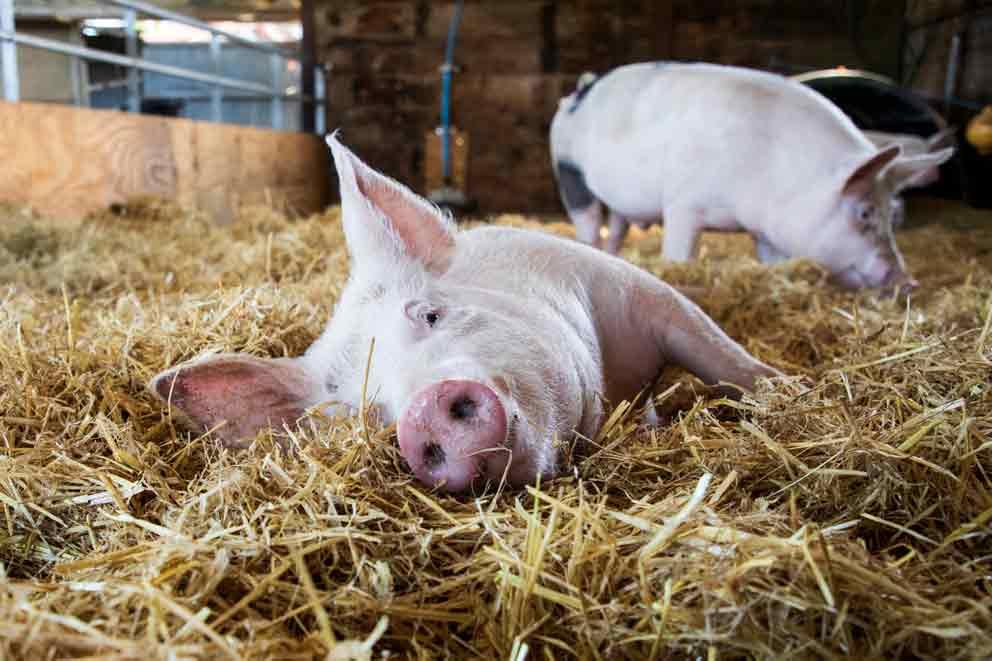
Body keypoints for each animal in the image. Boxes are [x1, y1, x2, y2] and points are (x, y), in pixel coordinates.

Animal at [151, 137, 780, 492]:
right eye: (366, 413)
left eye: (429, 315)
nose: (422, 415)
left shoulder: (635, 290)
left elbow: (721, 357)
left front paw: (786, 391)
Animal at [552, 62, 952, 288]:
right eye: (865, 212)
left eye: (893, 215)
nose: (908, 281)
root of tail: (582, 89)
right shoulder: (683, 204)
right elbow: (679, 255)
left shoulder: (767, 230)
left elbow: (771, 261)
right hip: (569, 172)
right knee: (589, 223)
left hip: (617, 201)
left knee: (617, 228)